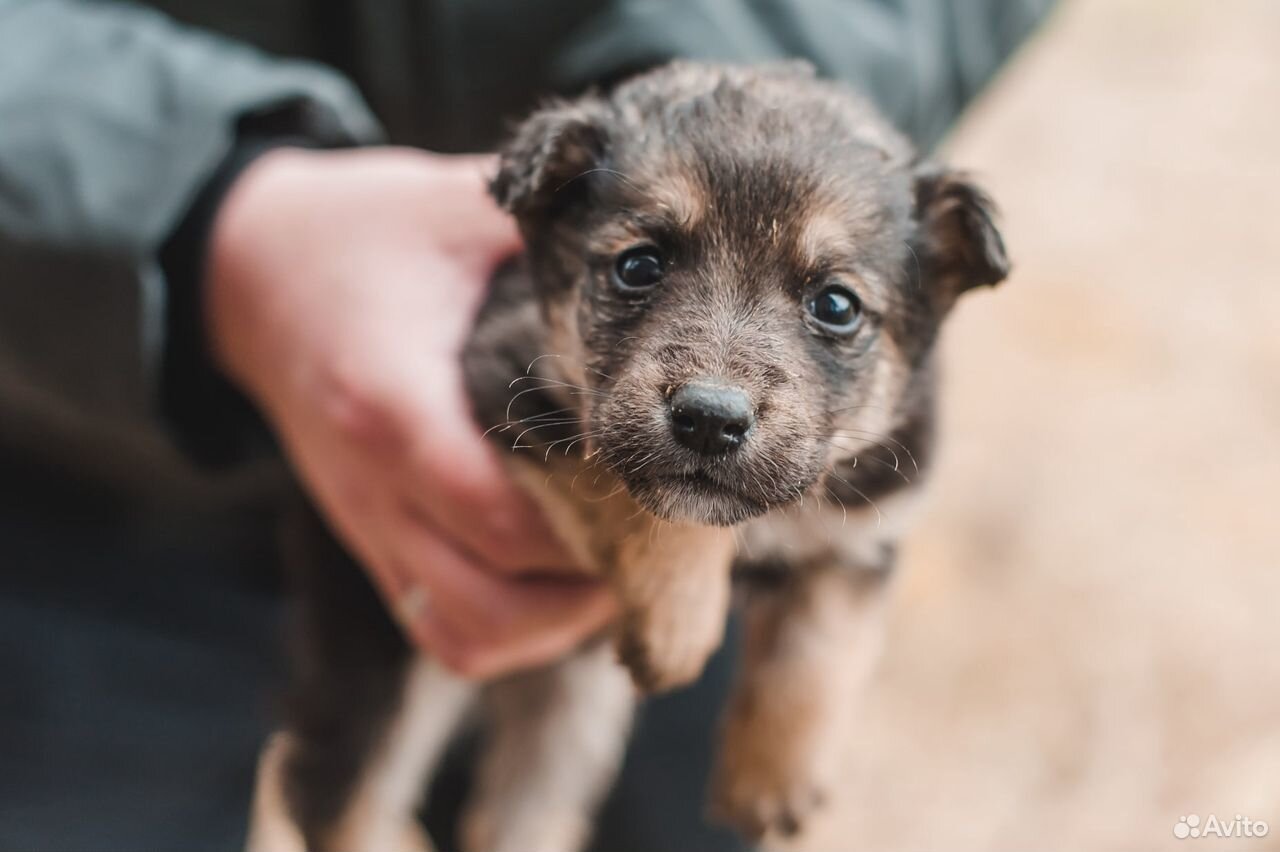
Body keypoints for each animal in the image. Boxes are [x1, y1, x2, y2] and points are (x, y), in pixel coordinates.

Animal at [247, 61, 1008, 849]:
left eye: (835, 305)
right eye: (640, 266)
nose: (710, 421)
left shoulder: (869, 523)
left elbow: (826, 636)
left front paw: (773, 776)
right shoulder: (508, 384)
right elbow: (650, 502)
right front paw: (680, 625)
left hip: (570, 710)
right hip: (385, 650)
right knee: (341, 796)